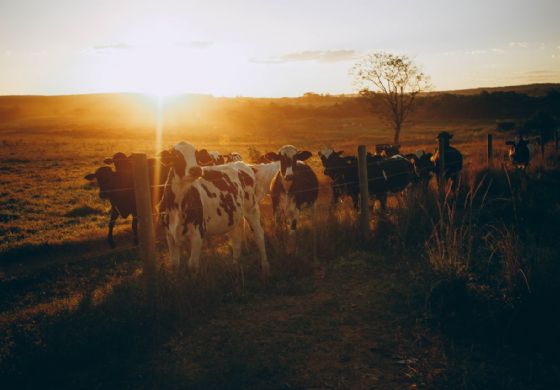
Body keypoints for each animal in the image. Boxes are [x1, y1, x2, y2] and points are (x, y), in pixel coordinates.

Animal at [158, 142, 272, 278]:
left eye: (196, 155)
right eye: (177, 156)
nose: (196, 169)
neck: (178, 204)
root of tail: (242, 164)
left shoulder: (198, 233)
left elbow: (192, 264)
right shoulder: (169, 235)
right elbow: (175, 263)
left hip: (252, 209)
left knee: (259, 236)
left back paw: (265, 268)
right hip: (234, 216)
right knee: (236, 239)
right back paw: (235, 266)